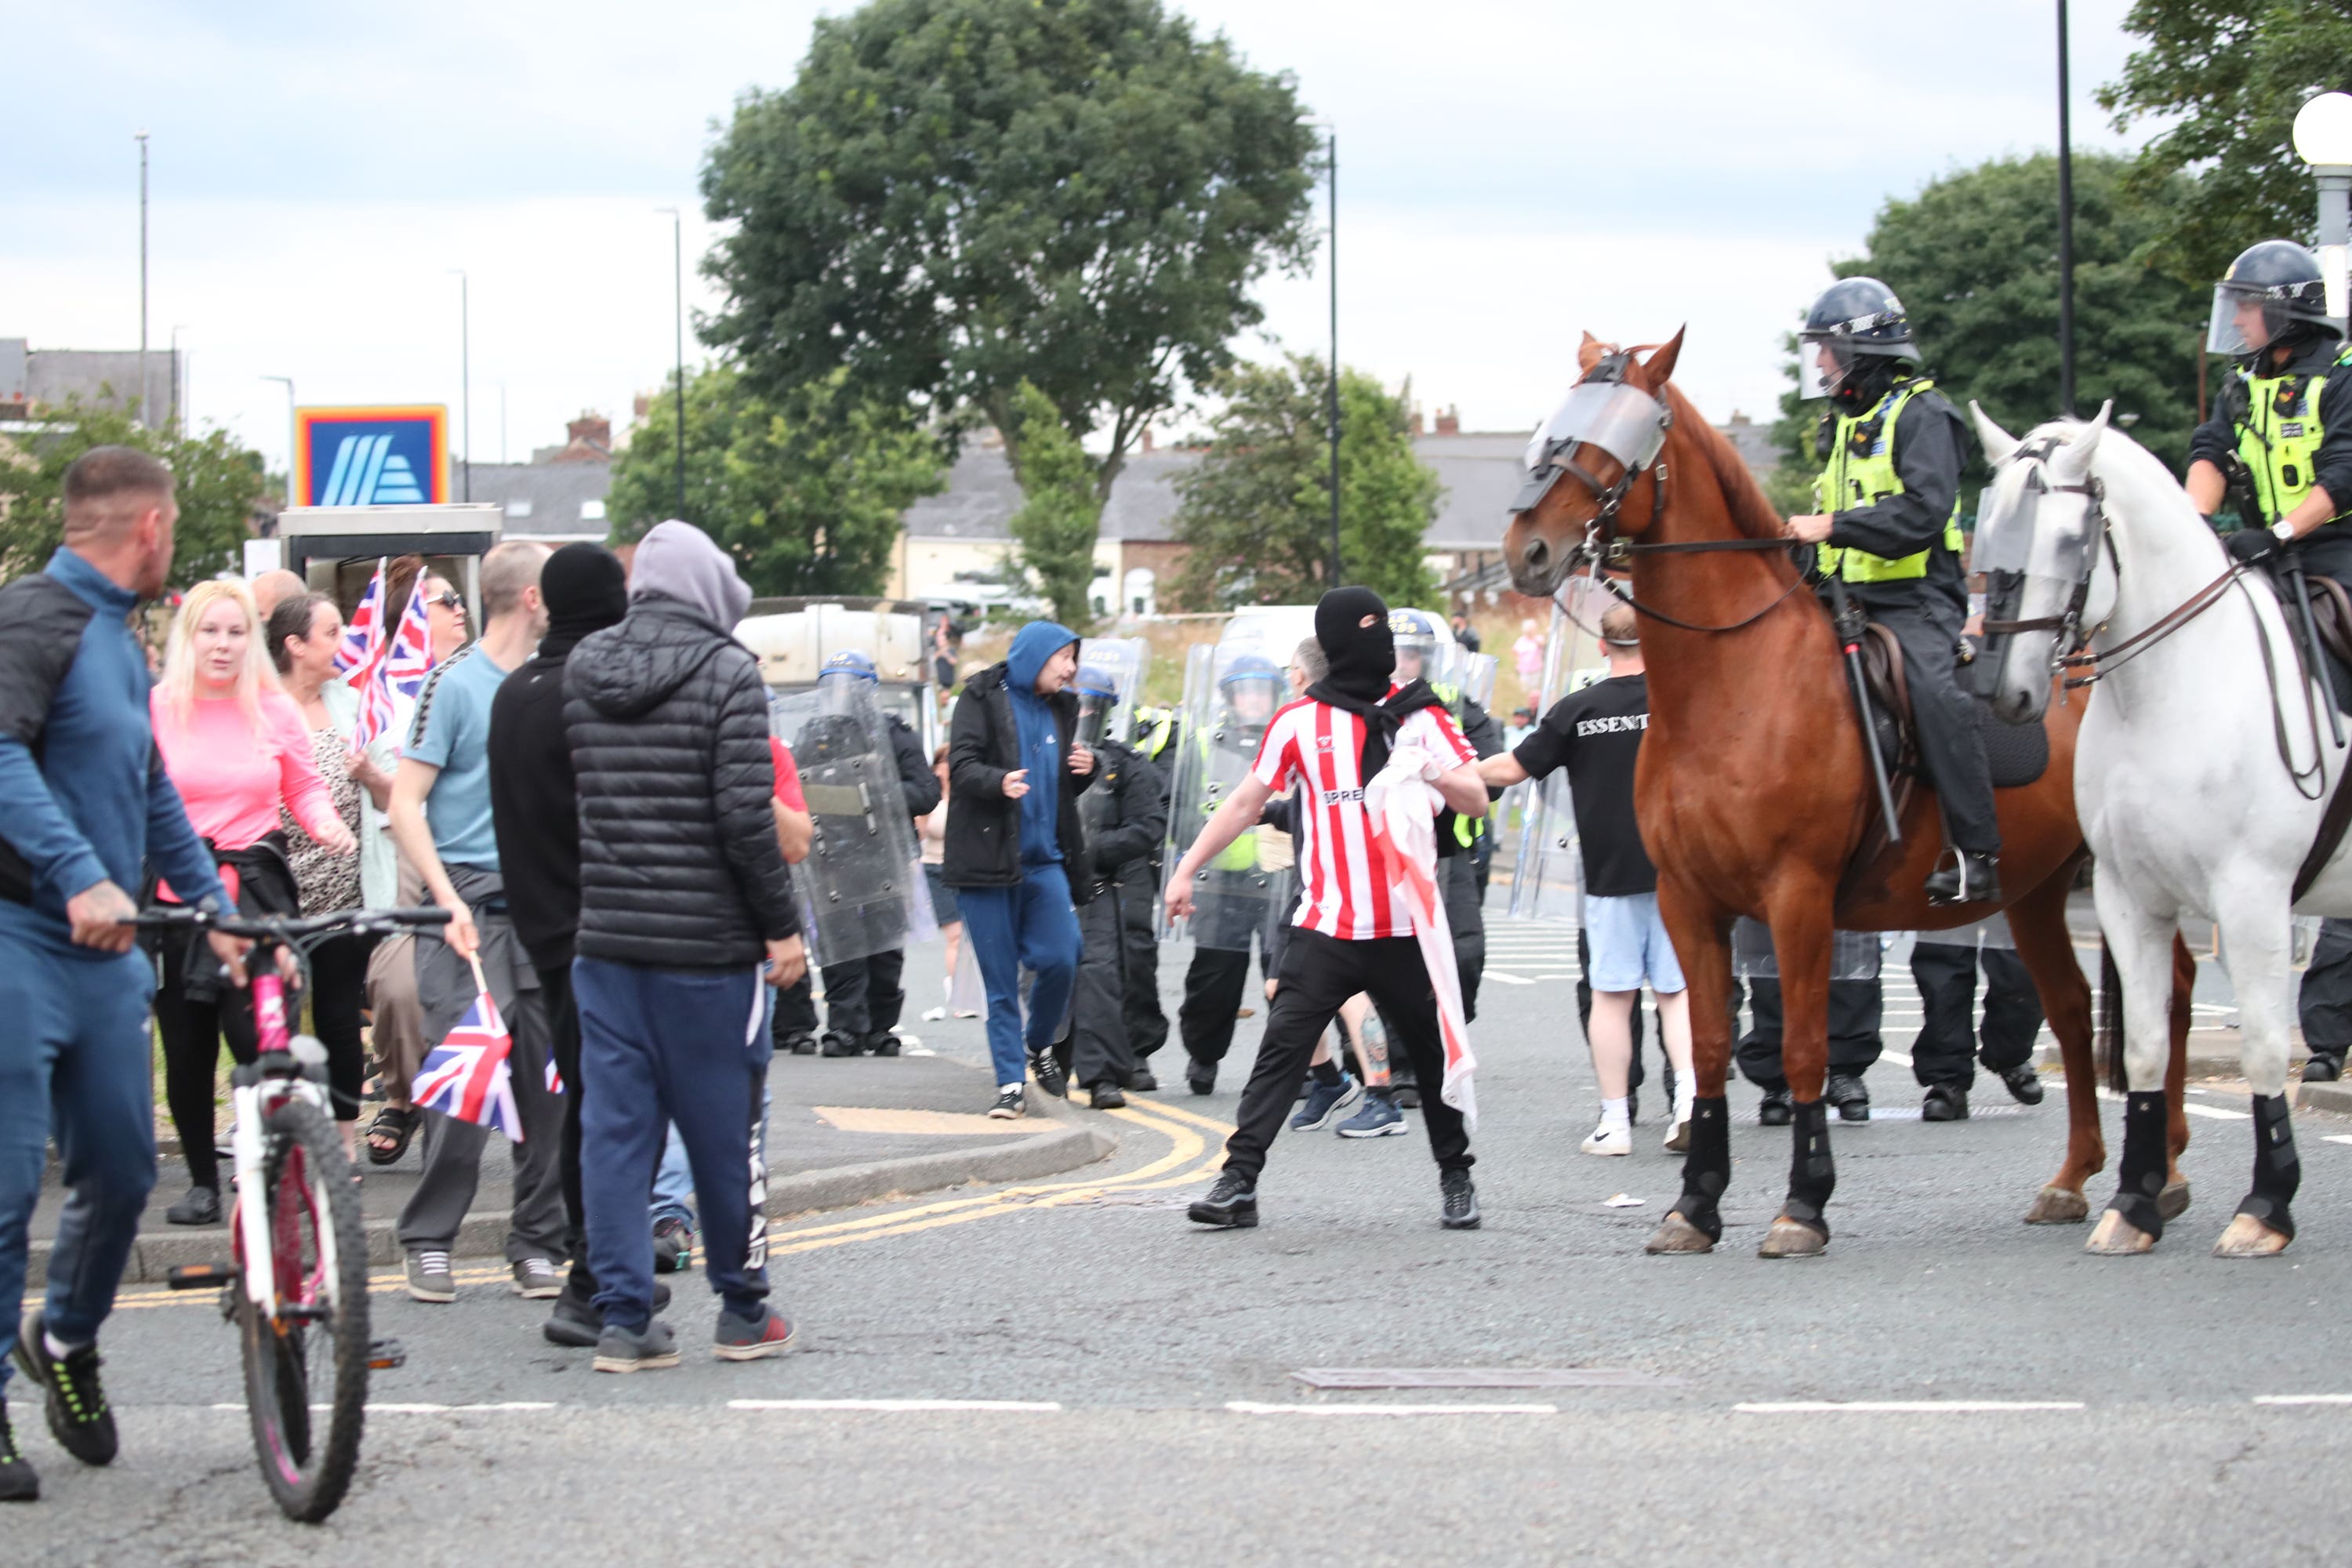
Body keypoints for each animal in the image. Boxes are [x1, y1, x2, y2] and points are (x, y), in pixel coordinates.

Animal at [1496, 333, 2192, 1260]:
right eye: (1555, 423)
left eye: (1622, 434)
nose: (1528, 549)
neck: (1731, 685)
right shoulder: (1689, 900)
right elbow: (1707, 1048)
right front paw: (1696, 1204)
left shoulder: (1798, 897)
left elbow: (1804, 1051)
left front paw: (1803, 1204)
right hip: (2040, 889)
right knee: (2077, 1012)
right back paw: (2075, 1178)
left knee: (2169, 995)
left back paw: (2165, 1173)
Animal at [1966, 404, 2352, 1260]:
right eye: (1987, 525)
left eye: (2067, 537)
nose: (2003, 691)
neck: (2176, 687)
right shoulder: (2128, 895)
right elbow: (2142, 1043)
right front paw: (2134, 1202)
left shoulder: (2252, 897)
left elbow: (2264, 1044)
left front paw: (2266, 1206)